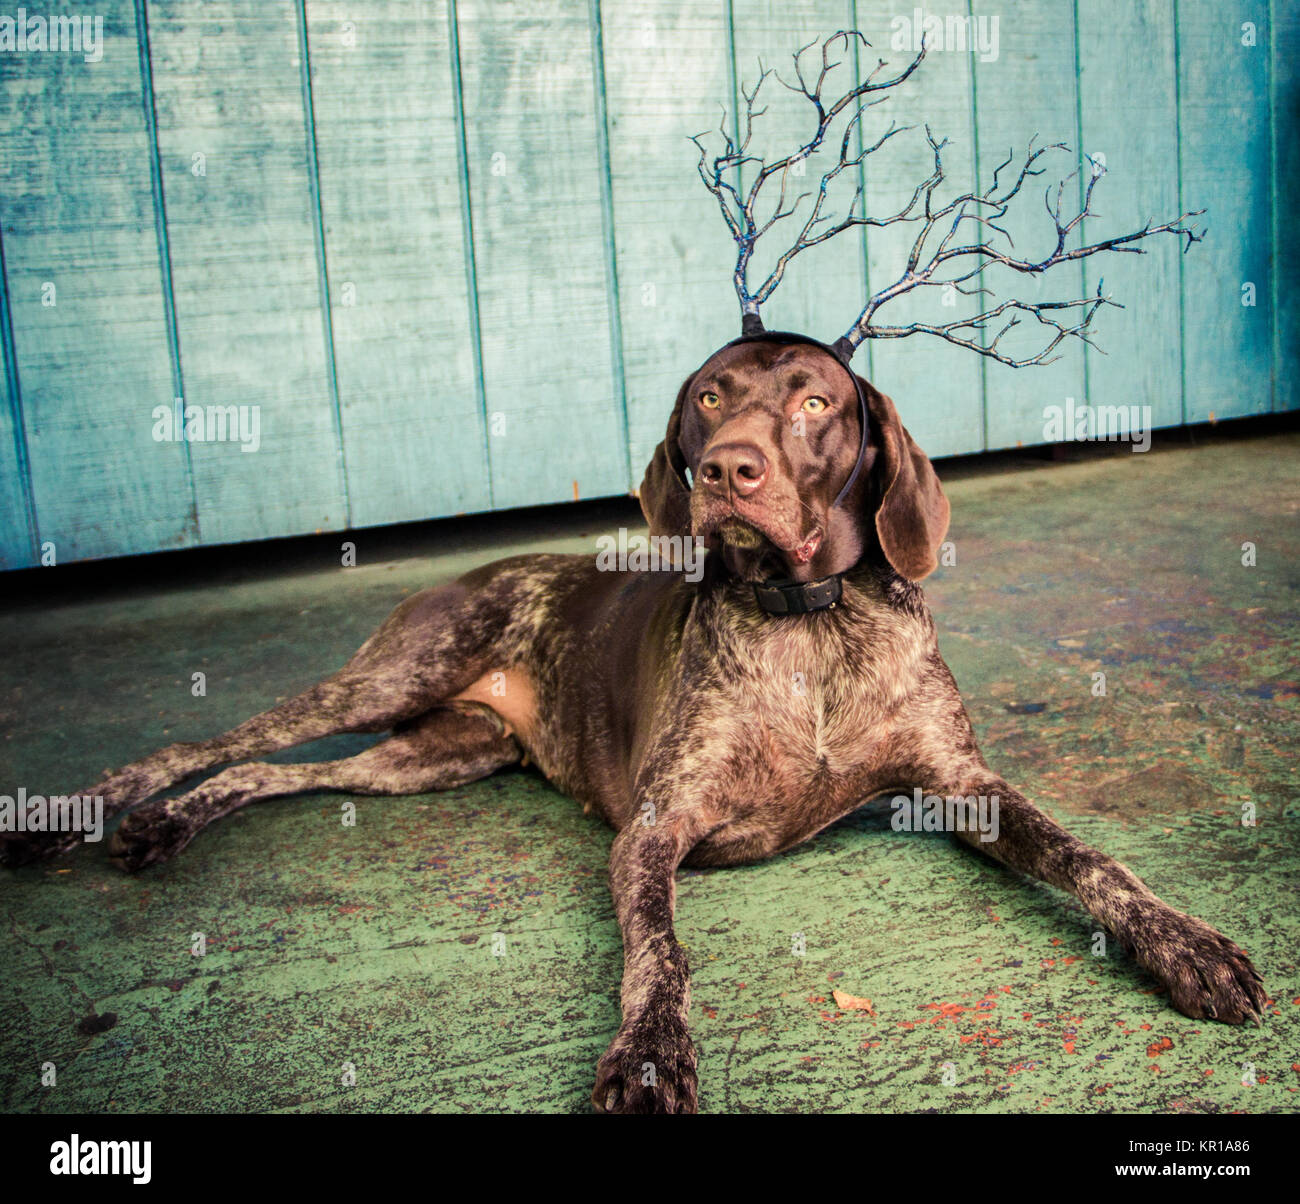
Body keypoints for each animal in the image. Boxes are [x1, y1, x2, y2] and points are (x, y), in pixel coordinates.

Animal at [0, 338, 1258, 1112]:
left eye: (815, 401)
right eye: (707, 396)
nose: (723, 469)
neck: (812, 626)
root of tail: (490, 568)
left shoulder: (962, 781)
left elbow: (1091, 860)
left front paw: (1189, 947)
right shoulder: (653, 829)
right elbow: (661, 953)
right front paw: (650, 1060)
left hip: (438, 753)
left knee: (274, 774)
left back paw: (164, 828)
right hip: (393, 679)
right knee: (220, 743)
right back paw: (90, 810)